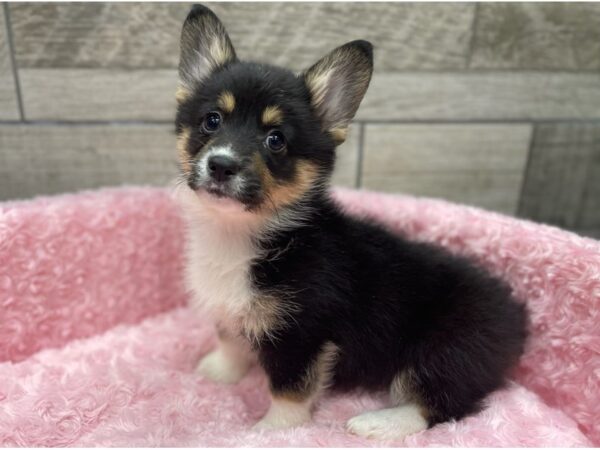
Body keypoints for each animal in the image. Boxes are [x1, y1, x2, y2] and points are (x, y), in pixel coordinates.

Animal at [171, 3, 528, 440]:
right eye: (212, 120)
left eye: (276, 140)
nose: (221, 165)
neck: (242, 233)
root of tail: (516, 317)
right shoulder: (231, 311)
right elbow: (231, 342)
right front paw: (217, 372)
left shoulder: (302, 333)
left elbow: (289, 390)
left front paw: (272, 431)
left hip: (448, 347)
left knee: (439, 403)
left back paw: (377, 423)